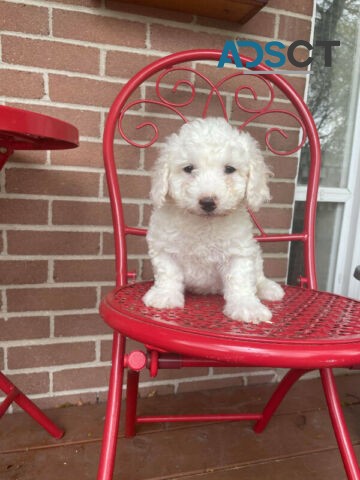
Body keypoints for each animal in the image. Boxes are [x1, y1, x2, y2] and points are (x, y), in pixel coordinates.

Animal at [142, 117, 286, 324]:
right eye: (188, 168)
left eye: (229, 169)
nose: (208, 202)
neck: (204, 223)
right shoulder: (163, 246)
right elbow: (168, 272)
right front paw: (165, 295)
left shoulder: (239, 252)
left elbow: (240, 280)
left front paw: (246, 306)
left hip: (255, 254)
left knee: (258, 276)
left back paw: (269, 289)